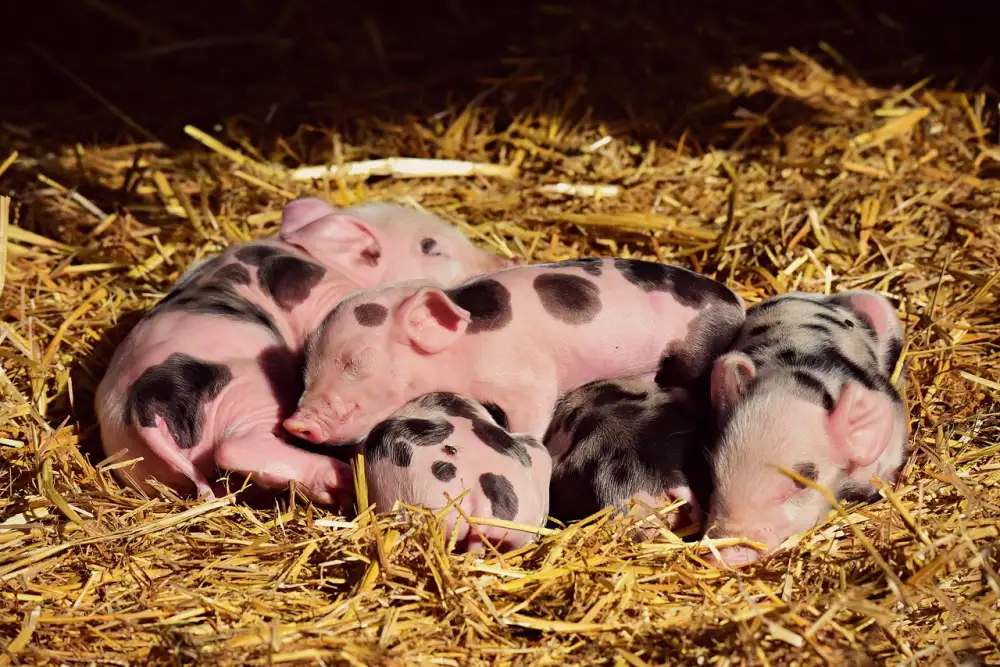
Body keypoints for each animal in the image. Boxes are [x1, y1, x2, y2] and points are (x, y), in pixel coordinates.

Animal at [95, 197, 512, 503]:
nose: (504, 259)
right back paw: (339, 480)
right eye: (430, 246)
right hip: (248, 390)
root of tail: (145, 409)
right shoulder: (325, 294)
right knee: (237, 446)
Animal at [284, 257, 746, 446]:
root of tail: (735, 301)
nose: (294, 424)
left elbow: (534, 409)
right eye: (306, 367)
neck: (460, 349)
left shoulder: (525, 377)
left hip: (696, 348)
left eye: (356, 361)